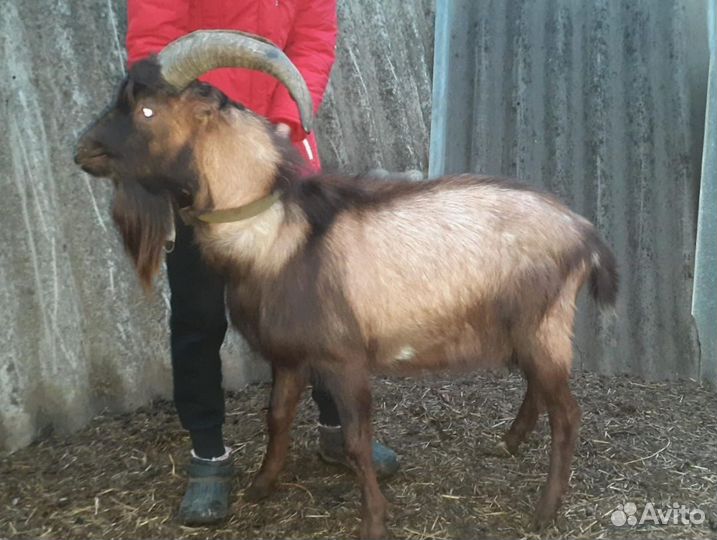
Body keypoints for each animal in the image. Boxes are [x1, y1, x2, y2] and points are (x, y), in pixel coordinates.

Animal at [75, 31, 618, 539]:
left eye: (147, 110)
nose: (82, 150)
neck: (277, 234)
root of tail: (584, 232)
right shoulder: (290, 357)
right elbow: (277, 416)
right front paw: (261, 486)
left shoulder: (344, 360)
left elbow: (356, 440)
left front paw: (373, 519)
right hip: (526, 331)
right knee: (537, 389)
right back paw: (508, 443)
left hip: (543, 325)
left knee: (568, 414)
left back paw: (544, 510)